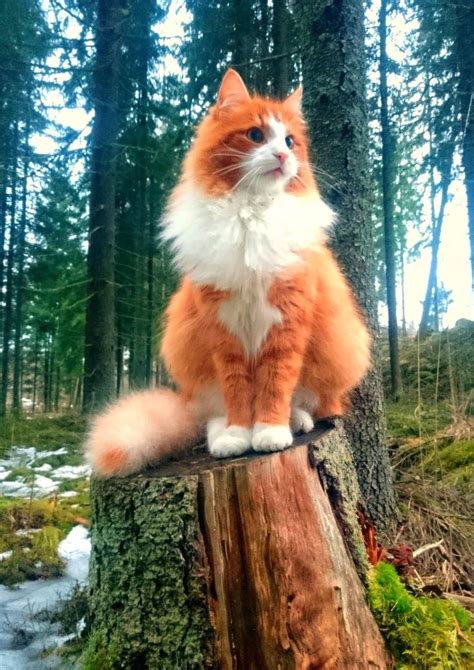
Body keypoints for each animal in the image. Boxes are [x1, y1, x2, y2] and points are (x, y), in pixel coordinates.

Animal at [87, 68, 372, 478]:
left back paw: (295, 421)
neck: (250, 212)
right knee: (210, 415)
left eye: (290, 141)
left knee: (309, 402)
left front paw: (269, 431)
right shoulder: (223, 331)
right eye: (256, 135)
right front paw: (240, 434)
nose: (283, 155)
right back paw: (223, 435)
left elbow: (275, 385)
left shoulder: (286, 324)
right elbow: (237, 392)